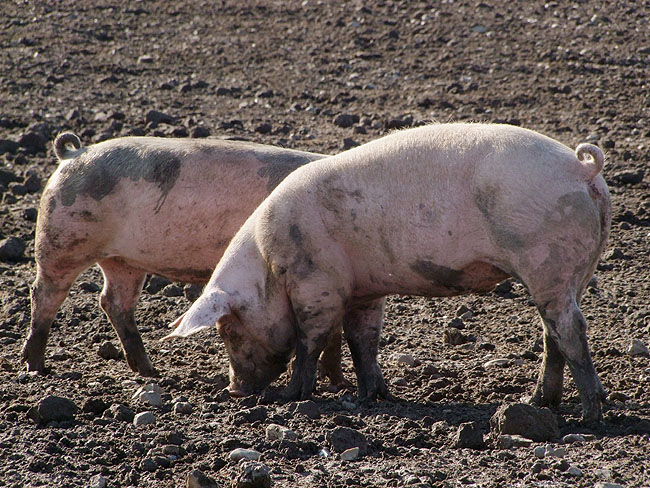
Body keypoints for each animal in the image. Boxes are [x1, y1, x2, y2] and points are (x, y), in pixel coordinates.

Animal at [21, 132, 349, 384]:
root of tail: (73, 154)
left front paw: (338, 382)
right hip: (61, 242)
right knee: (44, 294)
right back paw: (35, 368)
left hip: (123, 261)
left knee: (113, 302)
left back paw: (149, 371)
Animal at [166, 122, 611, 423]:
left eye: (228, 329)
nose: (234, 391)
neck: (269, 264)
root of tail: (581, 170)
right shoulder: (364, 291)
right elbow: (363, 340)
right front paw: (374, 396)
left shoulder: (317, 285)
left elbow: (310, 342)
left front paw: (292, 398)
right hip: (575, 270)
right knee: (552, 332)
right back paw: (540, 404)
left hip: (547, 259)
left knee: (571, 328)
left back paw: (589, 417)